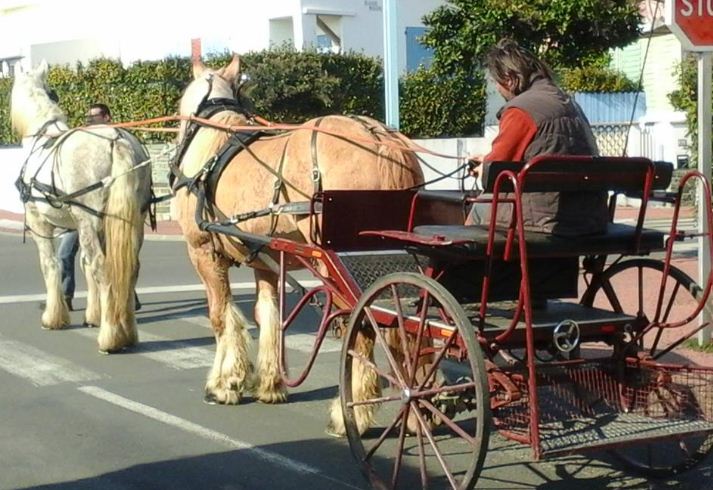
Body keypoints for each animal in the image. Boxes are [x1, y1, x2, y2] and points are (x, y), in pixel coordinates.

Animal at [10, 60, 152, 352]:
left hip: (89, 220)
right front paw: (94, 314)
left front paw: (54, 317)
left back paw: (110, 337)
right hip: (131, 221)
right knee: (129, 268)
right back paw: (128, 330)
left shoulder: (40, 223)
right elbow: (84, 264)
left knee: (103, 268)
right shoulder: (80, 226)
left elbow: (51, 264)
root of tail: (117, 140)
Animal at [174, 53, 422, 432]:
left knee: (362, 327)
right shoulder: (264, 257)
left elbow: (220, 316)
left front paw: (224, 383)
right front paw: (269, 382)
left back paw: (352, 412)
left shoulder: (202, 251)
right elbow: (267, 315)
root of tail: (380, 140)